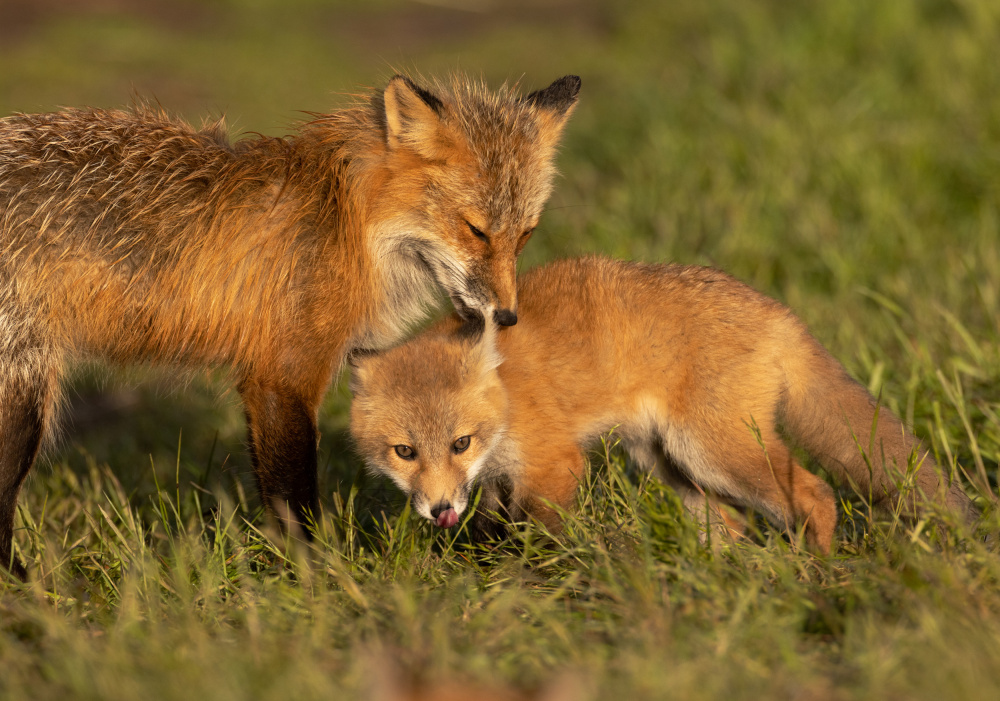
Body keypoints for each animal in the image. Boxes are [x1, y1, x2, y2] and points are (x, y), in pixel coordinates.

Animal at [0, 74, 584, 580]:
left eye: (525, 234)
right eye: (475, 230)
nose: (506, 317)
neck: (351, 223)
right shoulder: (283, 376)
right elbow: (293, 496)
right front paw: (318, 576)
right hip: (23, 401)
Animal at [348, 254, 972, 556]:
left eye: (460, 442)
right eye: (404, 452)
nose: (438, 510)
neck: (507, 402)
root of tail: (779, 312)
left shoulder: (553, 465)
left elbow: (539, 540)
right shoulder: (500, 483)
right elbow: (494, 533)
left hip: (713, 452)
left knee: (815, 494)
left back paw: (816, 573)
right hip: (668, 464)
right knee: (733, 525)